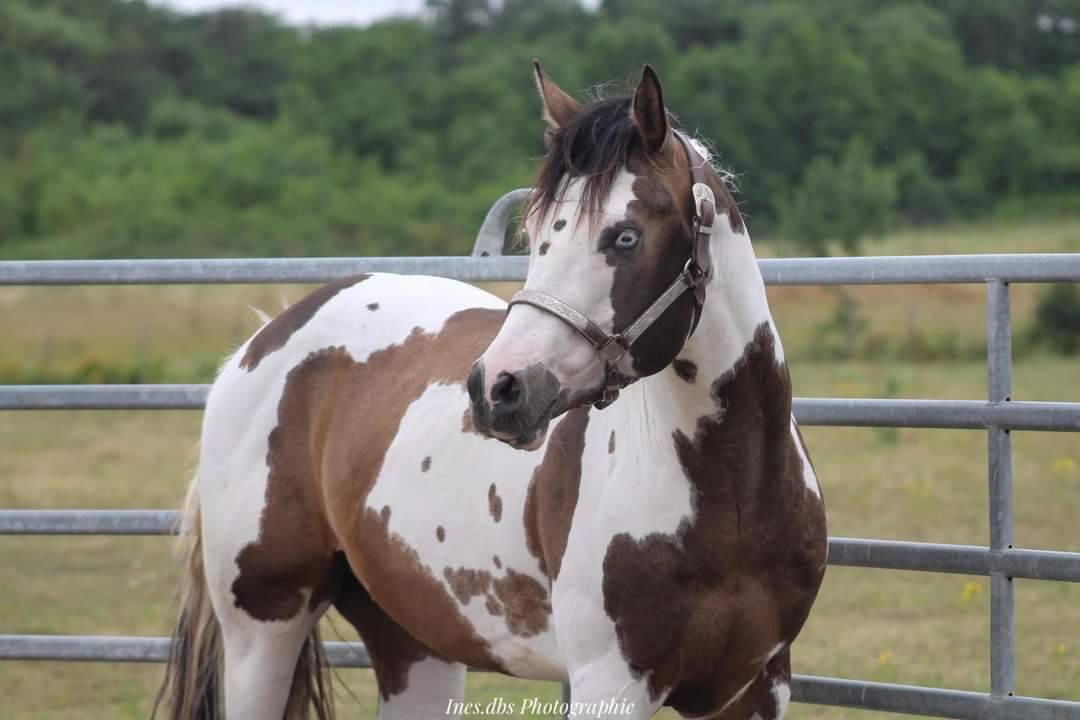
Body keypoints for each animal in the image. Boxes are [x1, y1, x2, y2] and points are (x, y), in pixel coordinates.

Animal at [155, 62, 827, 720]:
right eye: (536, 234)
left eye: (625, 237)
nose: (497, 388)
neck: (727, 497)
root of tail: (261, 341)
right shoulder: (611, 684)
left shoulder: (758, 686)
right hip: (262, 632)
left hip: (413, 643)